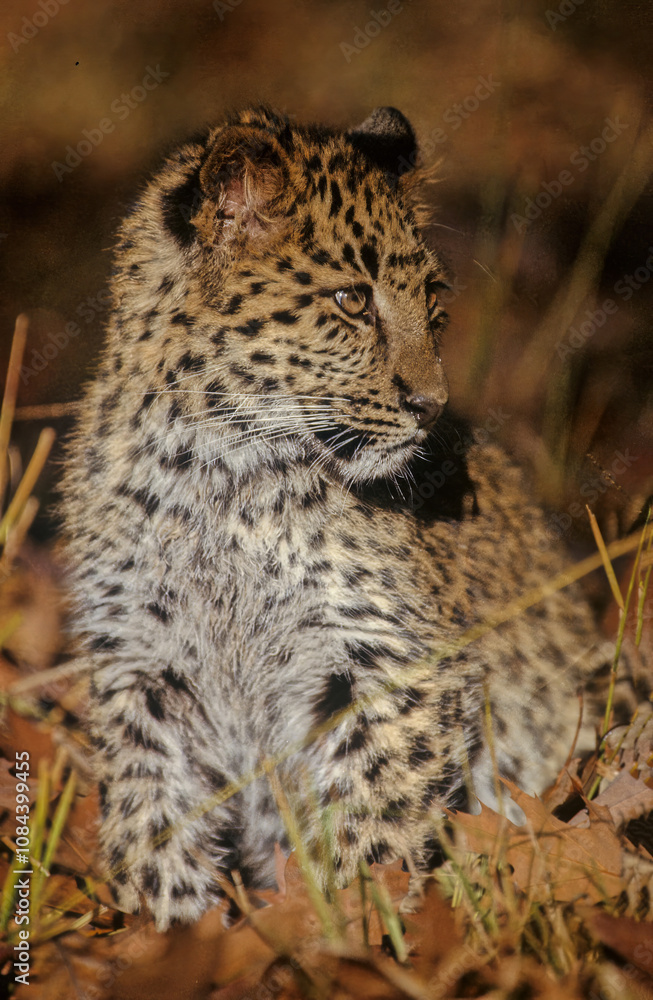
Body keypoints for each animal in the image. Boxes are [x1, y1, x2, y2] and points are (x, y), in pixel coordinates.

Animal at [59, 105, 612, 932]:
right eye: (351, 302)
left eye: (433, 305)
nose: (431, 407)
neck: (217, 471)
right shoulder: (140, 665)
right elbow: (150, 820)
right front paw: (168, 936)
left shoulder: (390, 662)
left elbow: (372, 831)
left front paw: (351, 932)